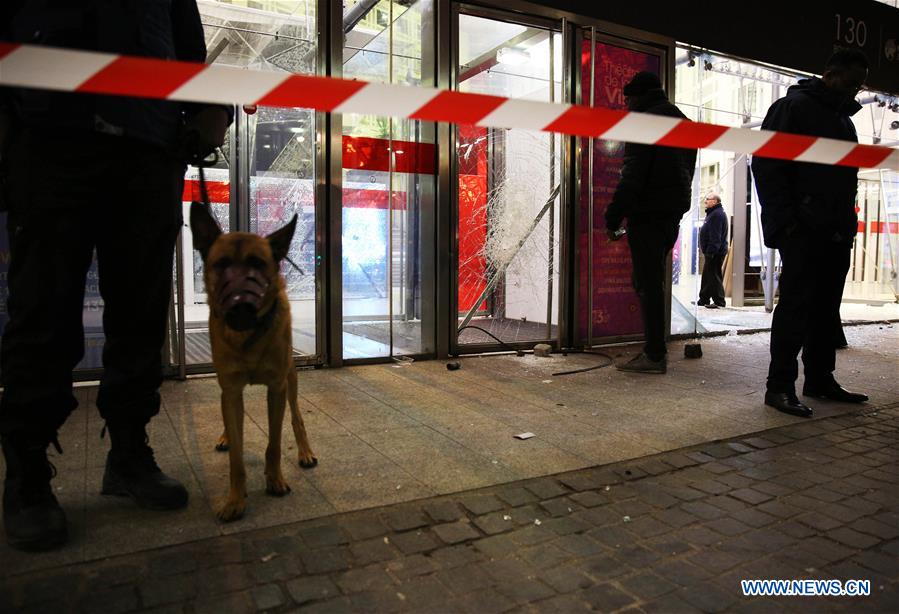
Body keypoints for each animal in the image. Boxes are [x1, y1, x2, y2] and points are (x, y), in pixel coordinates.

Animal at [189, 205, 316, 524]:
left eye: (258, 264)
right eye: (221, 264)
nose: (240, 308)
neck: (247, 336)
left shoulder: (277, 388)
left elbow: (274, 443)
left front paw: (275, 480)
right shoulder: (231, 390)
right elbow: (236, 455)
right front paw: (235, 499)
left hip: (291, 379)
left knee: (297, 417)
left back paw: (305, 452)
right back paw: (225, 436)